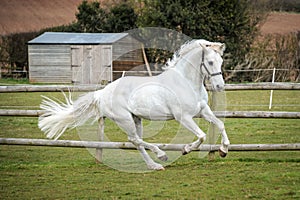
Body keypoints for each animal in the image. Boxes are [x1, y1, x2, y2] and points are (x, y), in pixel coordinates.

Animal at [37, 39, 230, 170]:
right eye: (210, 62)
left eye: (221, 62)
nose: (220, 87)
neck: (186, 82)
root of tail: (103, 93)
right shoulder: (184, 117)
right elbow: (202, 136)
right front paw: (186, 149)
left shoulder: (203, 111)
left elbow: (220, 124)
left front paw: (223, 150)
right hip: (125, 119)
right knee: (134, 139)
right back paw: (161, 156)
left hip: (136, 119)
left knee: (136, 142)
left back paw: (154, 165)